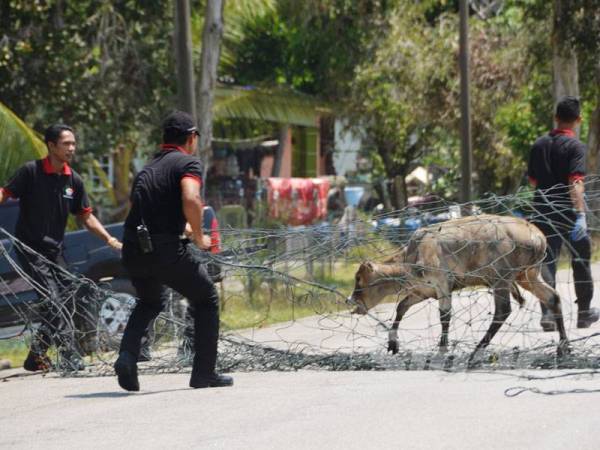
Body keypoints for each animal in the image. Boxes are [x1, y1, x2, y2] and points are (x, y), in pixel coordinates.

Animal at [346, 214, 568, 366]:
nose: (349, 300)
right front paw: (392, 343)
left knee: (503, 311)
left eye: (359, 279)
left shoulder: (442, 284)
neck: (413, 254)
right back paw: (563, 346)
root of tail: (536, 235)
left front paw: (442, 349)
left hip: (501, 279)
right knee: (553, 297)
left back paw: (476, 352)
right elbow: (401, 306)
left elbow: (444, 315)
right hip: (527, 276)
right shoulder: (422, 291)